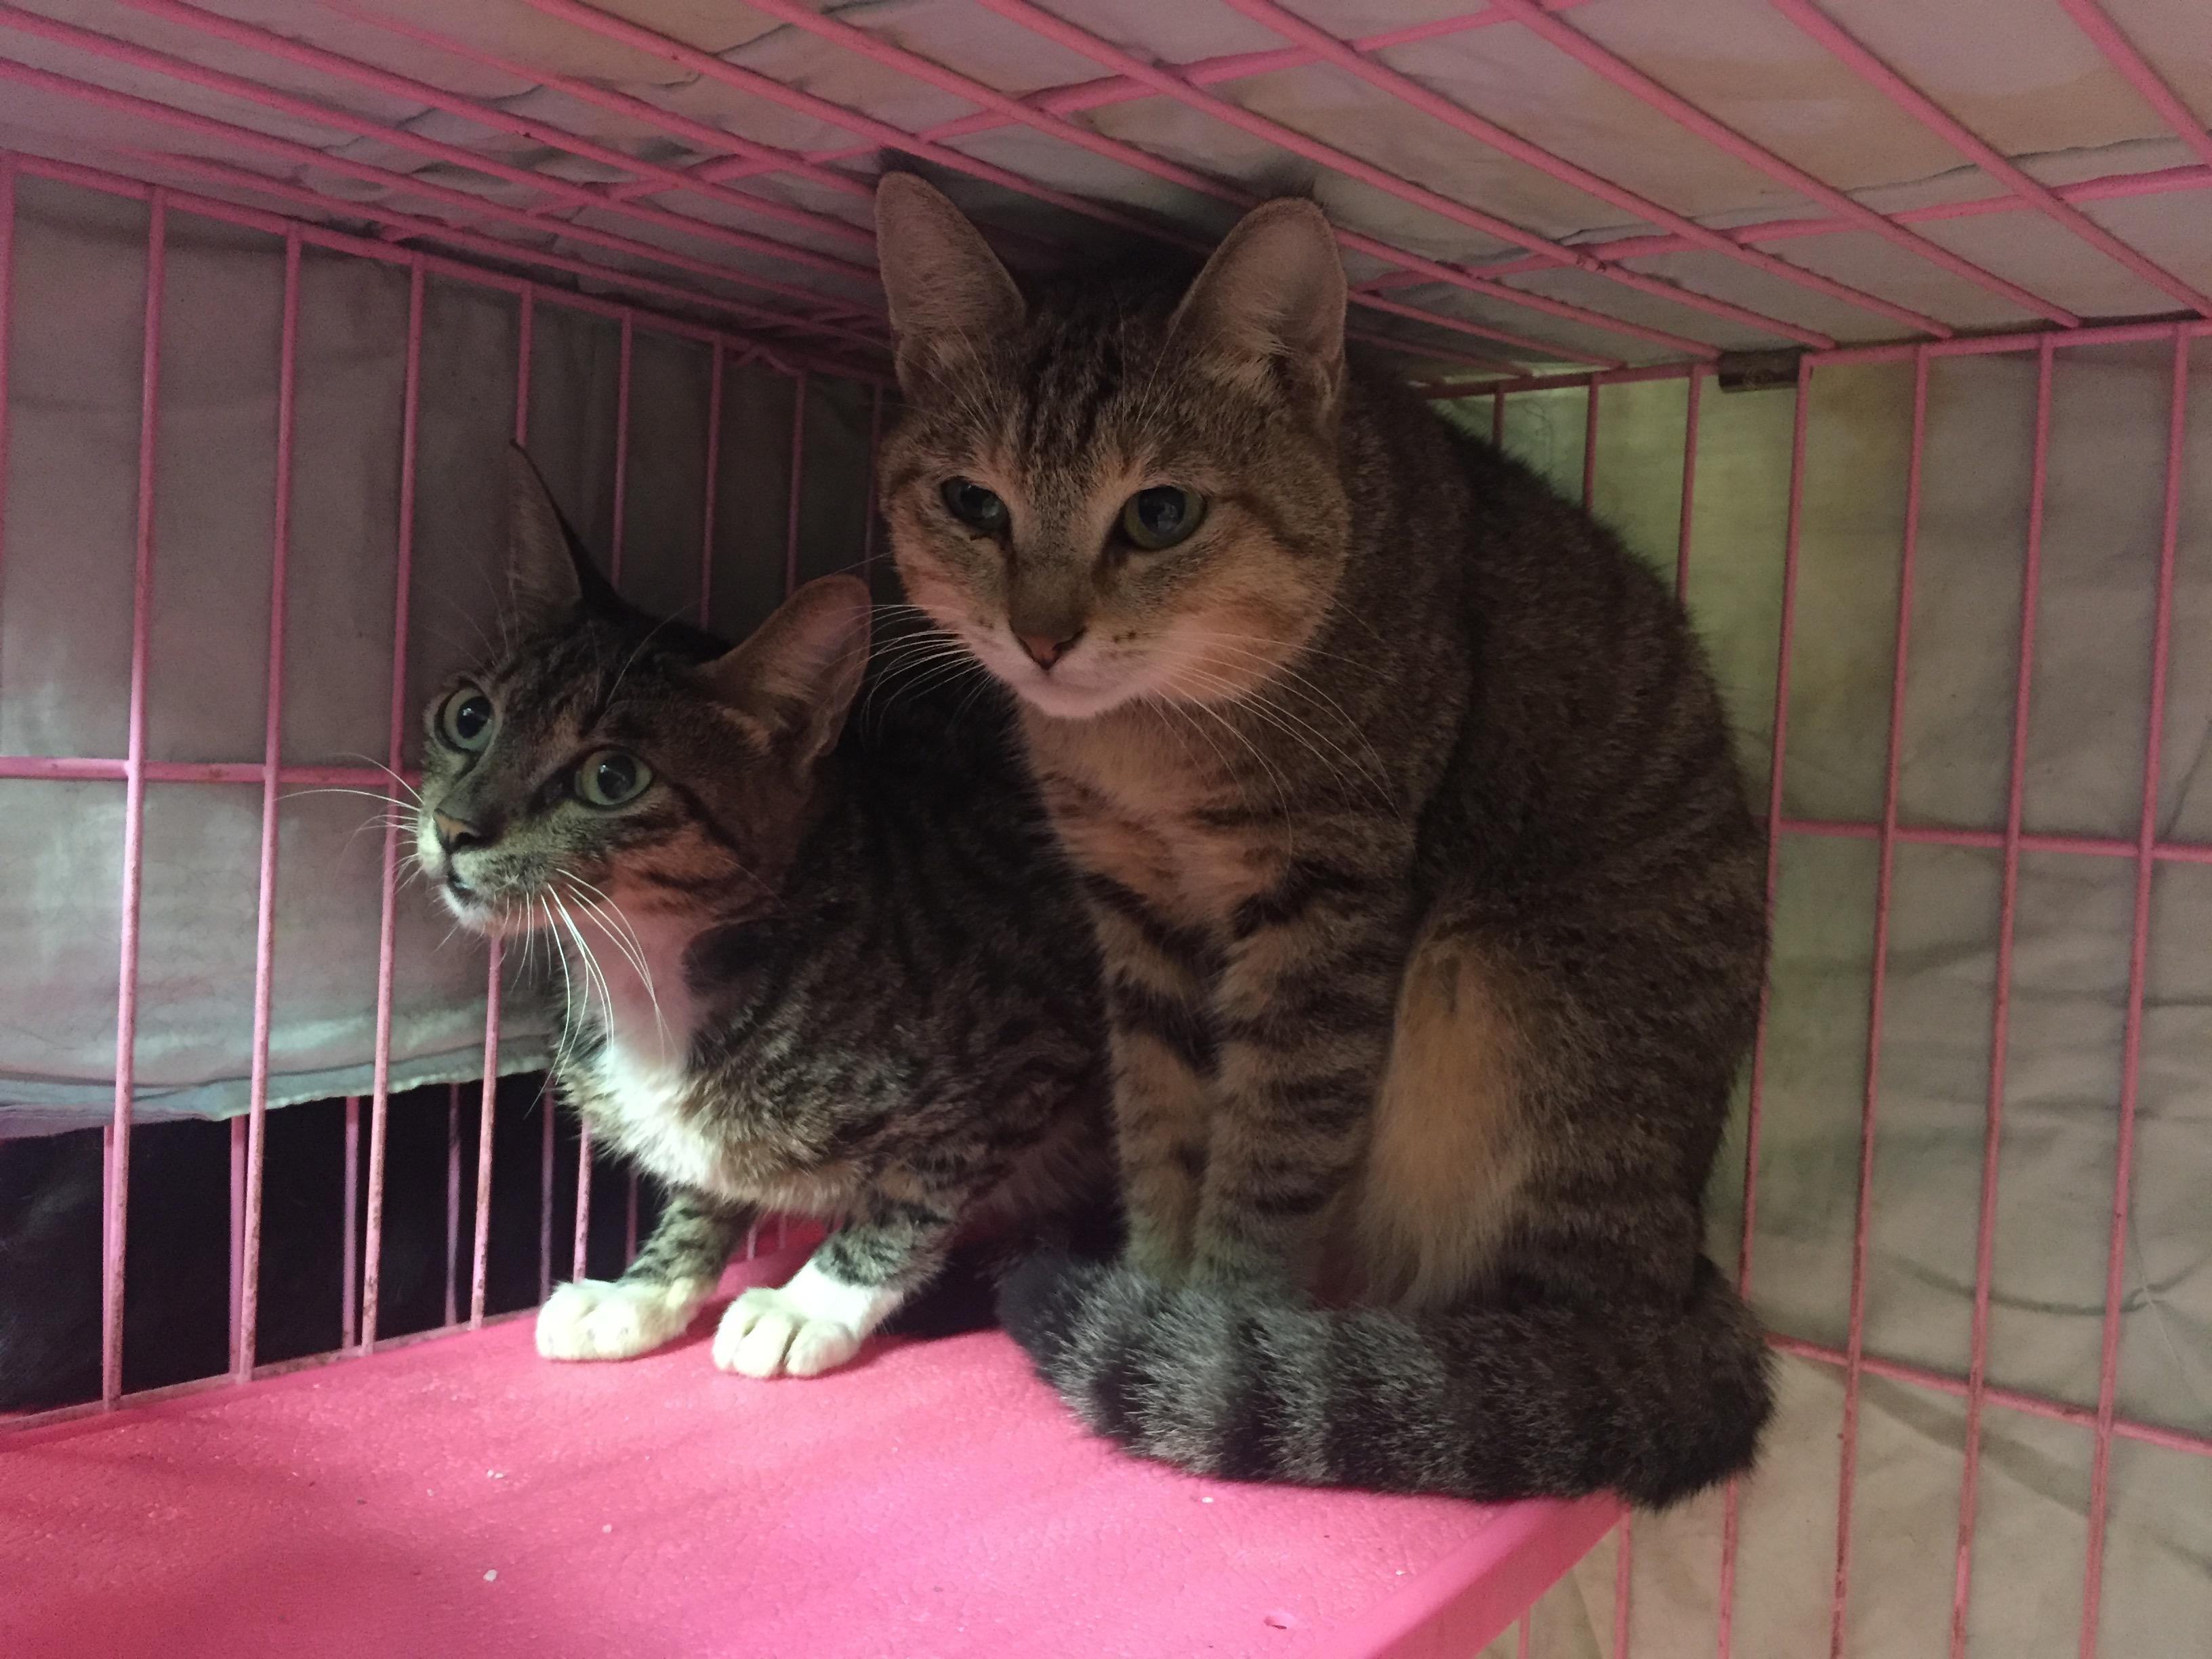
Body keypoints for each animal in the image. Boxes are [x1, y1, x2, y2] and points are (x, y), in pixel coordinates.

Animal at [413, 452, 1109, 1378]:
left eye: (612, 778)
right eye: (468, 717)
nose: (454, 828)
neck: (650, 973)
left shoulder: (1031, 1056)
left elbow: (912, 1197)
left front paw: (809, 1303)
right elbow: (706, 1184)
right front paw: (643, 1291)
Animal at [871, 175, 1773, 1507]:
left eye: (1161, 512)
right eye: (972, 503)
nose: (1042, 638)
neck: (1149, 746)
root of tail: (1683, 1263)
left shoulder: (1323, 914)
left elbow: (1266, 1152)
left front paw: (1209, 1325)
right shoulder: (1135, 922)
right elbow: (1161, 1126)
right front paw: (1156, 1285)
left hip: (1514, 995)